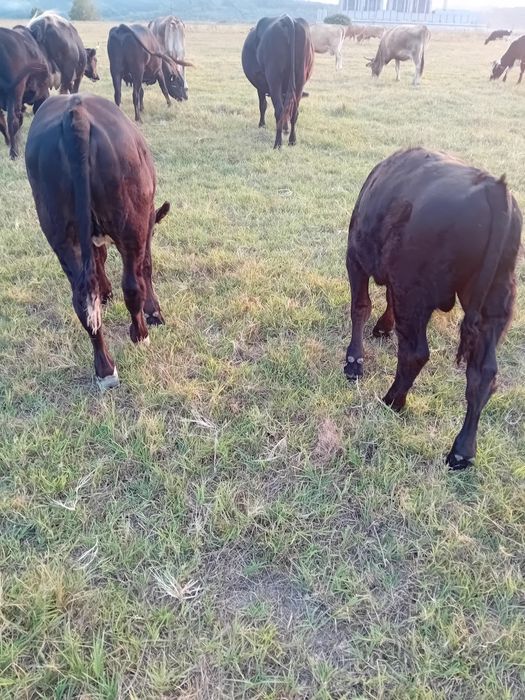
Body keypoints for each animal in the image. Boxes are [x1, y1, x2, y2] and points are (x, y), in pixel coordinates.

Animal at [25, 93, 171, 389]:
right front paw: (153, 312)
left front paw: (104, 292)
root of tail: (76, 112)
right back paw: (140, 335)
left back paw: (104, 368)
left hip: (61, 233)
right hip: (131, 225)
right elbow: (147, 267)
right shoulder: (146, 224)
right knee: (132, 286)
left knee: (82, 299)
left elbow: (98, 260)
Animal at [242, 15, 314, 149]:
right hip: (300, 81)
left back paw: (278, 143)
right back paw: (292, 140)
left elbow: (263, 105)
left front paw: (262, 124)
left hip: (274, 80)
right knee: (294, 111)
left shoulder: (260, 85)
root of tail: (288, 19)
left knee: (279, 111)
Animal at [344, 148, 521, 471]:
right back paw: (462, 451)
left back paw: (393, 401)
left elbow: (360, 306)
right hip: (496, 301)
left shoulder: (356, 257)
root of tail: (492, 187)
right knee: (483, 373)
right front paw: (382, 328)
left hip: (414, 292)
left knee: (415, 353)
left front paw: (354, 362)